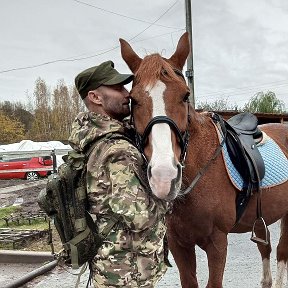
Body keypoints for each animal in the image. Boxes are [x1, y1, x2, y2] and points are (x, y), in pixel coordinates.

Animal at [120, 32, 288, 288]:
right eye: (133, 100)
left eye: (185, 96)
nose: (164, 177)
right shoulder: (179, 244)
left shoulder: (217, 243)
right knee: (266, 248)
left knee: (281, 252)